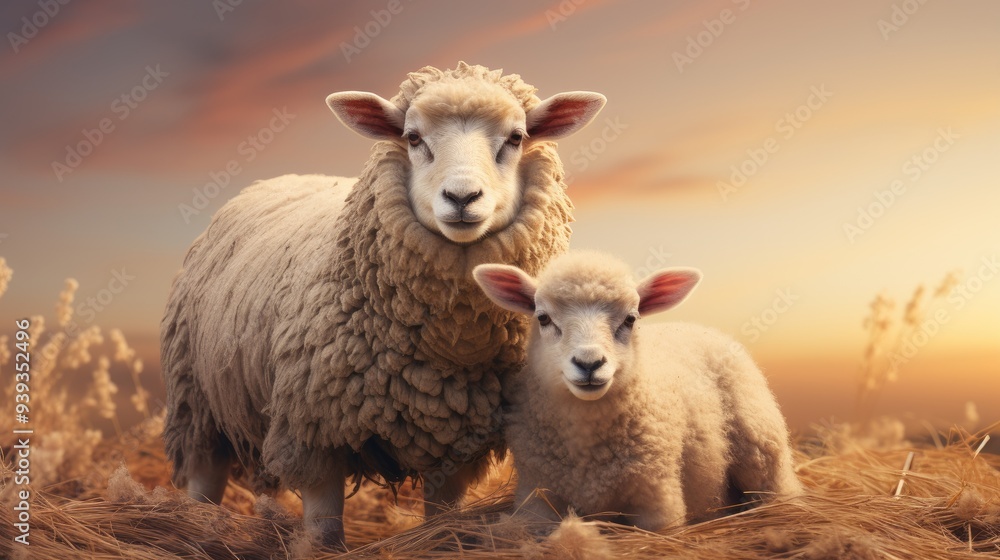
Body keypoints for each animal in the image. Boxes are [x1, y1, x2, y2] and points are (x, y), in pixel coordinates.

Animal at [160, 62, 607, 548]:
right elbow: (323, 526)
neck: (450, 349)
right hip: (195, 398)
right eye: (412, 137)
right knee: (204, 473)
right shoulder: (312, 427)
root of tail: (279, 178)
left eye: (516, 137)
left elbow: (443, 514)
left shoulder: (457, 439)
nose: (462, 198)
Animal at [473, 251, 803, 531]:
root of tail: (703, 327)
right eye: (543, 318)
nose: (589, 363)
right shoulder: (537, 499)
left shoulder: (657, 498)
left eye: (630, 319)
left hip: (760, 445)